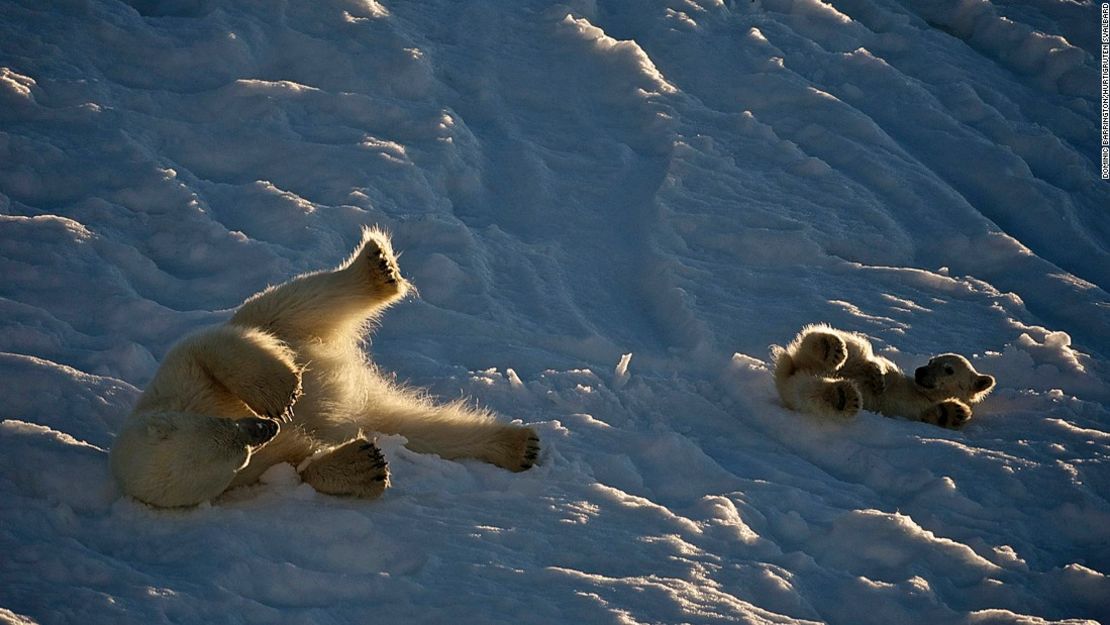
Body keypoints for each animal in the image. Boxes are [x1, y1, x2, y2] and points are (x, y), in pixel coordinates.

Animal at [110, 229, 539, 508]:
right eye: (236, 453)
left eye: (223, 428)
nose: (266, 427)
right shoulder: (254, 471)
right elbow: (299, 465)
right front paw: (365, 464)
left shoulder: (177, 377)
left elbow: (208, 344)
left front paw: (282, 394)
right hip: (370, 410)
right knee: (422, 429)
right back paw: (518, 446)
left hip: (285, 326)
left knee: (294, 301)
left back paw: (376, 268)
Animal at [772, 326, 999, 428]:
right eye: (931, 361)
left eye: (948, 369)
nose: (920, 371)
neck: (919, 393)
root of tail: (793, 366)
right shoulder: (897, 378)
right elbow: (882, 365)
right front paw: (877, 376)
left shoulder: (914, 411)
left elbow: (931, 415)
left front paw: (955, 413)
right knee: (854, 348)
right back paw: (831, 349)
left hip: (799, 383)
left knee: (808, 390)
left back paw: (842, 397)